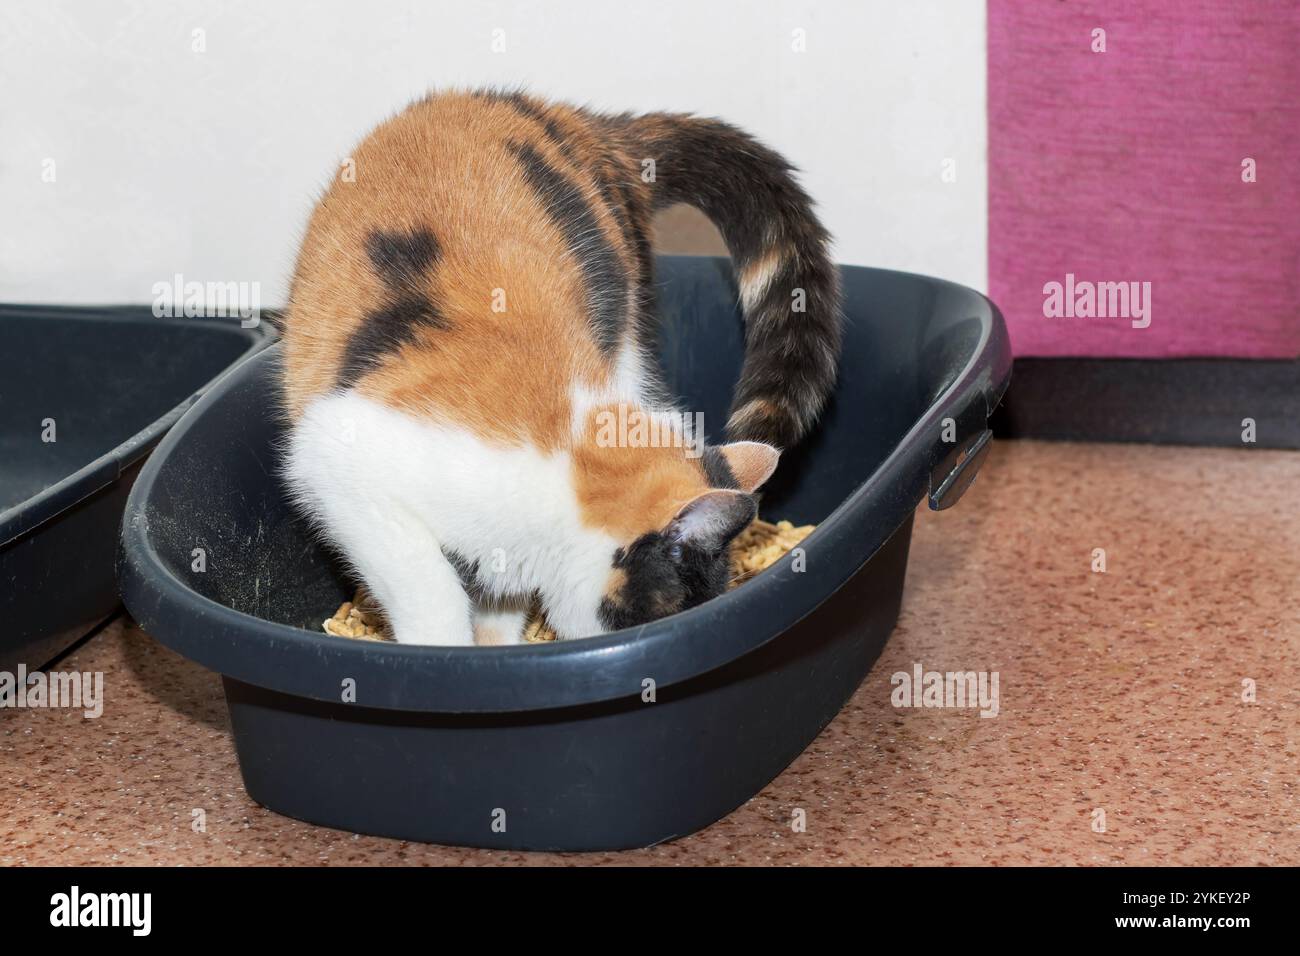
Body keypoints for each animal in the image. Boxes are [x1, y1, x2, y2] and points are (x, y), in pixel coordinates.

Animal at [282, 89, 842, 647]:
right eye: (676, 607)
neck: (566, 457)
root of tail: (577, 119)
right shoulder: (340, 461)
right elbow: (430, 591)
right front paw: (448, 653)